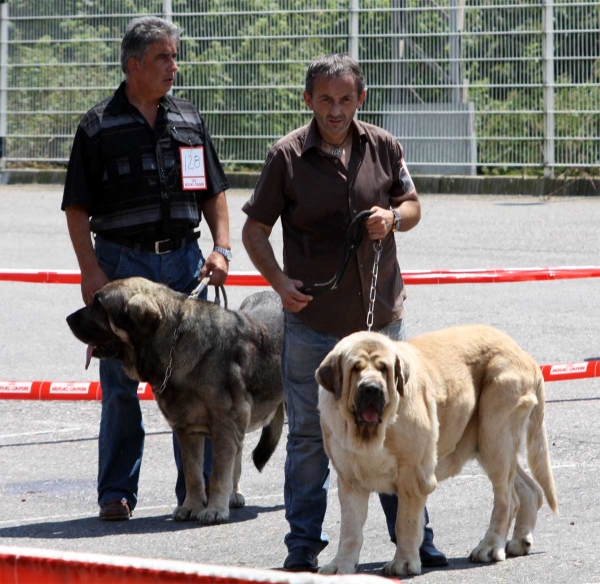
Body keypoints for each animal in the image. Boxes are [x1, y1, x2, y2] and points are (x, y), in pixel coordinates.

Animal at [67, 276, 282, 528]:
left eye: (98, 305)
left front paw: (214, 510)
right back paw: (233, 495)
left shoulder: (224, 426)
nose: (68, 319)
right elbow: (193, 474)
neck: (173, 342)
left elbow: (217, 473)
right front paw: (191, 507)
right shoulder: (187, 430)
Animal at [316, 326, 556, 576]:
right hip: (492, 446)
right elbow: (350, 531)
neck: (369, 434)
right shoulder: (350, 481)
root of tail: (523, 354)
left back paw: (489, 548)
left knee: (507, 500)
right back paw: (520, 541)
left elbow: (405, 523)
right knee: (529, 490)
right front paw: (340, 566)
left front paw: (403, 562)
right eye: (355, 368)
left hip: (496, 438)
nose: (372, 389)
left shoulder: (412, 477)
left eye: (384, 369)